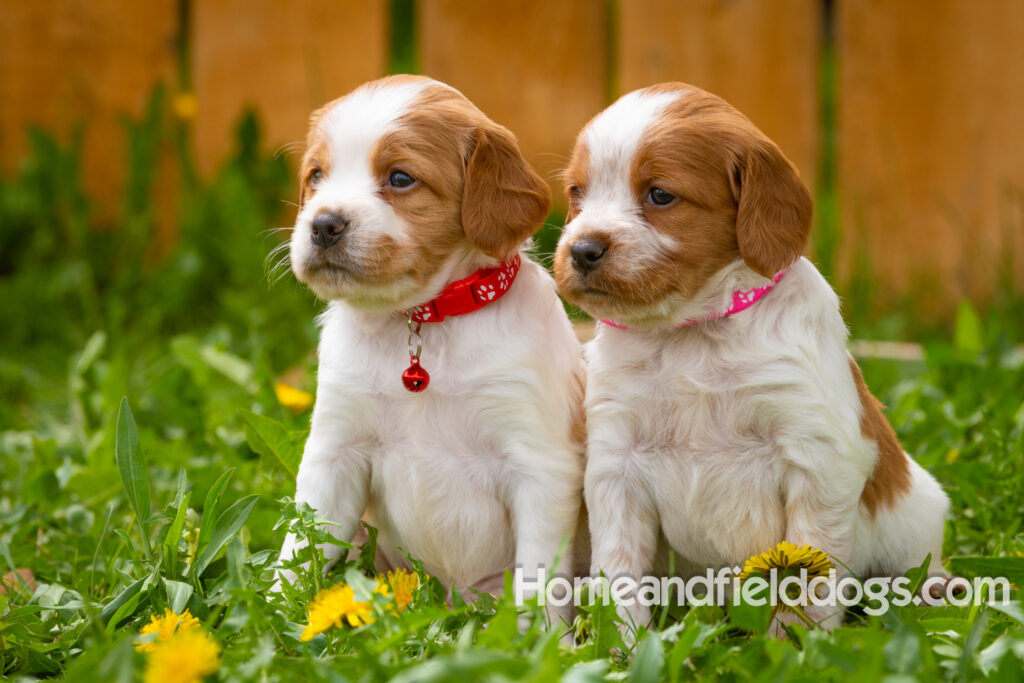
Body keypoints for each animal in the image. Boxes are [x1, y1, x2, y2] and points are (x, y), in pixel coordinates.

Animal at [278, 74, 585, 626]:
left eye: (400, 178)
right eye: (316, 175)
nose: (323, 224)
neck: (423, 322)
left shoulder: (540, 465)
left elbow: (539, 579)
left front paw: (541, 638)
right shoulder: (334, 453)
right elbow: (298, 549)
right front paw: (267, 614)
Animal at [552, 83, 950, 634]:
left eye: (660, 195)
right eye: (576, 193)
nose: (582, 249)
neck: (693, 333)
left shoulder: (816, 458)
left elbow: (809, 575)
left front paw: (796, 644)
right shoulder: (616, 465)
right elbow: (619, 573)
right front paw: (621, 645)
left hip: (917, 524)